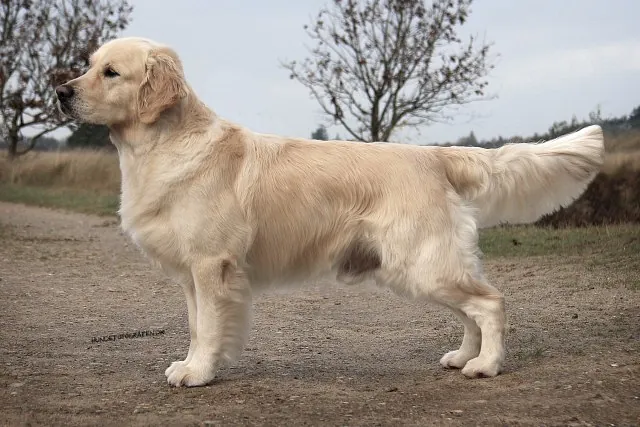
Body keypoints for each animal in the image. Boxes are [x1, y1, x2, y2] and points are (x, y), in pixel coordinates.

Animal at [55, 37, 605, 387]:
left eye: (111, 72)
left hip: (422, 263)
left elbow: (209, 327)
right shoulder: (193, 273)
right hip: (423, 266)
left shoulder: (213, 266)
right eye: (87, 64)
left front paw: (199, 373)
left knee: (490, 303)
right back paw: (462, 356)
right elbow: (195, 326)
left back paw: (486, 366)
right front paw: (193, 365)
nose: (60, 91)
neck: (161, 145)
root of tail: (433, 154)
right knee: (471, 309)